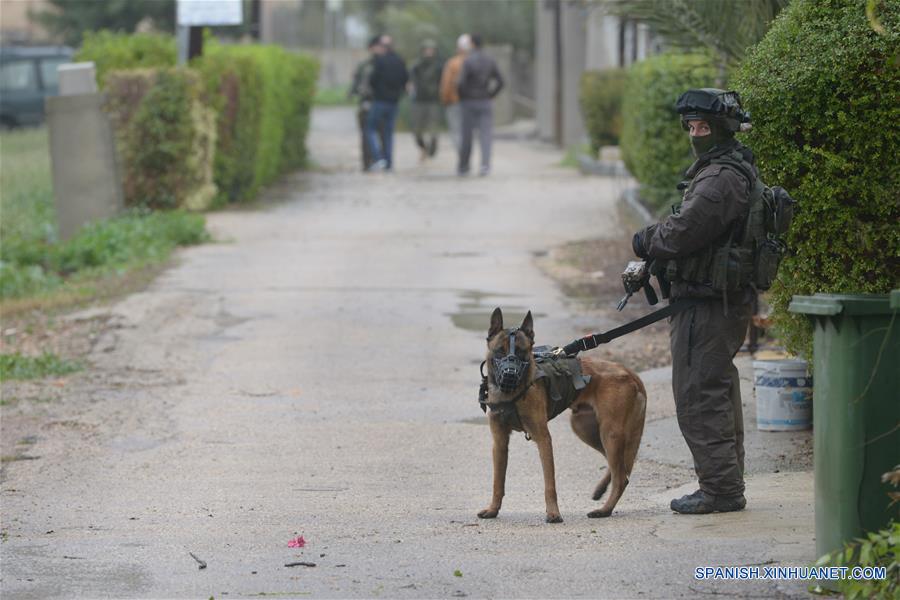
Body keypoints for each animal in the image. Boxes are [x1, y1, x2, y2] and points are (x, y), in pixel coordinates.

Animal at [482, 308, 644, 524]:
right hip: (585, 428)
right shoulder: (500, 443)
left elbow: (549, 484)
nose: (510, 374)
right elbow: (497, 482)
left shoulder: (543, 439)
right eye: (500, 350)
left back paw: (604, 510)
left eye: (522, 351)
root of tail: (629, 372)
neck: (512, 394)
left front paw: (553, 513)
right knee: (617, 467)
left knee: (621, 478)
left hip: (610, 434)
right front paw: (493, 510)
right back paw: (601, 492)